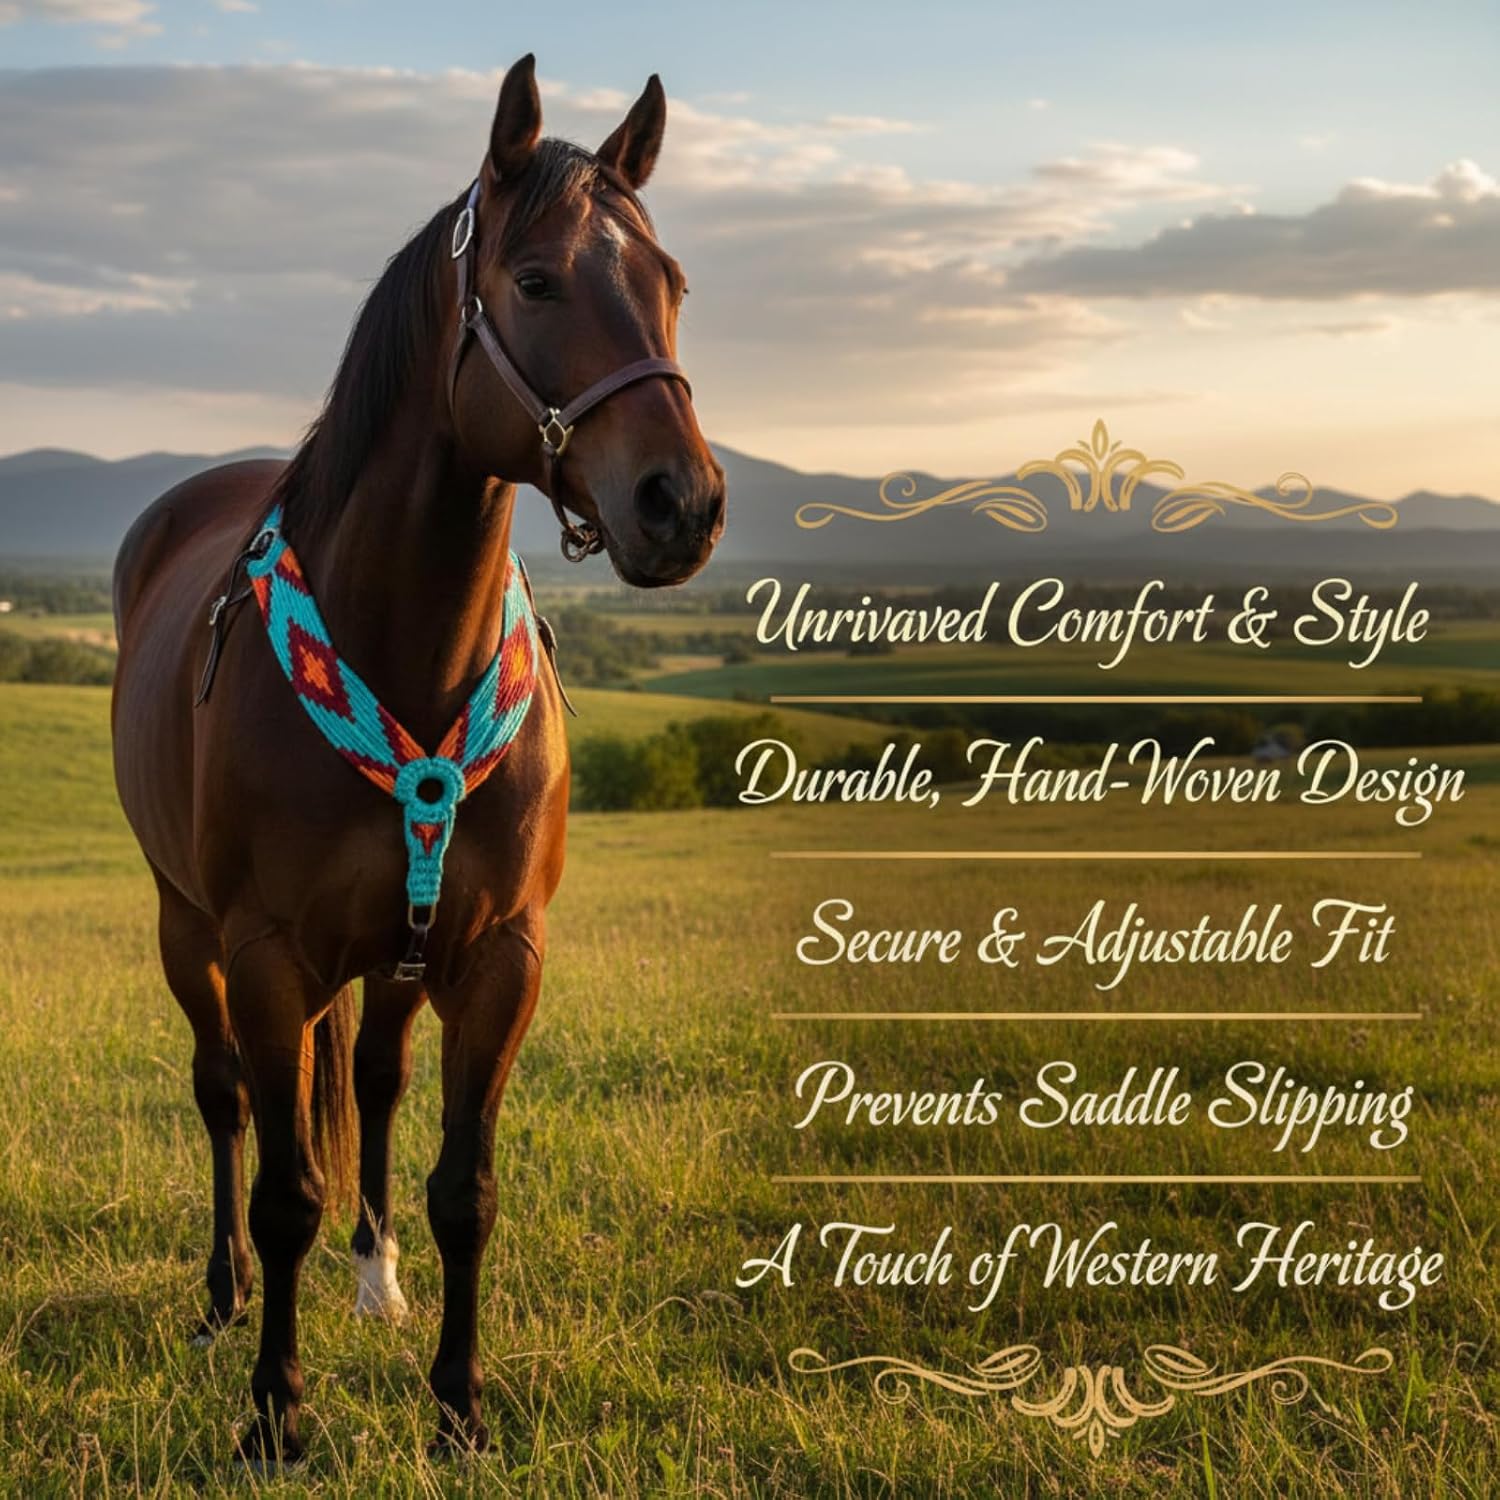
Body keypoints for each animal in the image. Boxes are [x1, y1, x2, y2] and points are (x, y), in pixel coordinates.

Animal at [110, 54, 725, 1464]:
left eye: (670, 281)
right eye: (538, 280)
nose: (684, 504)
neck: (408, 651)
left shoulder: (499, 959)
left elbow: (467, 1189)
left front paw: (459, 1404)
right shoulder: (265, 956)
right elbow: (281, 1186)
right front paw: (277, 1410)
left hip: (394, 959)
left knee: (378, 1082)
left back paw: (374, 1271)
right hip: (187, 928)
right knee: (225, 1101)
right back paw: (223, 1300)